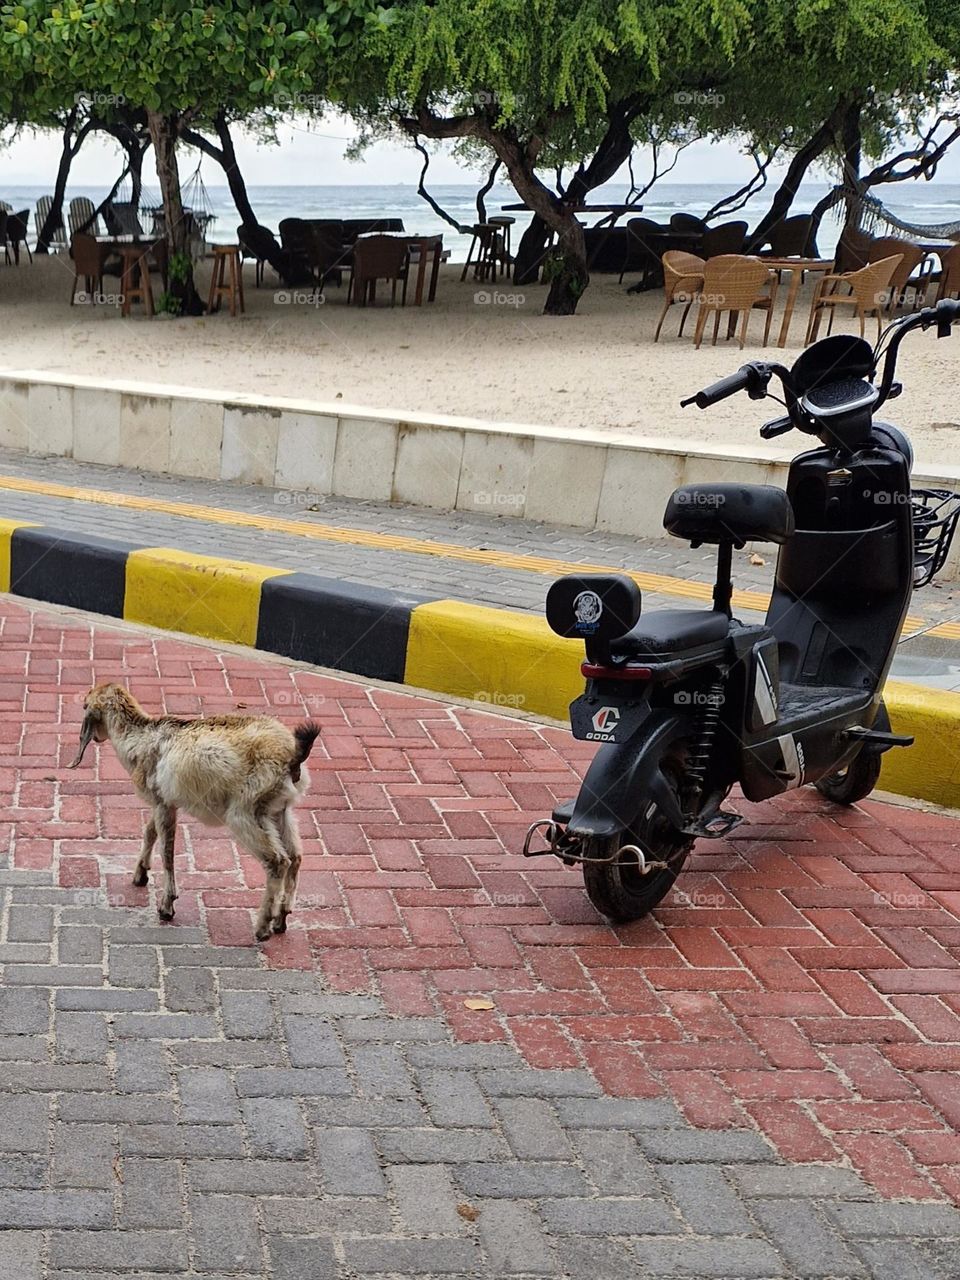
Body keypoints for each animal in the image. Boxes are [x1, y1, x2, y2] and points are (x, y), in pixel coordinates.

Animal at [72, 680, 320, 942]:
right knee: (295, 857)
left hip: (244, 812)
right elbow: (150, 832)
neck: (141, 739)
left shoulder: (163, 804)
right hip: (279, 811)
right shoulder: (163, 801)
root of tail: (293, 757)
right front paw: (140, 875)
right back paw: (281, 919)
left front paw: (166, 906)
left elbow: (167, 852)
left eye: (85, 706)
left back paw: (263, 927)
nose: (95, 737)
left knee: (278, 861)